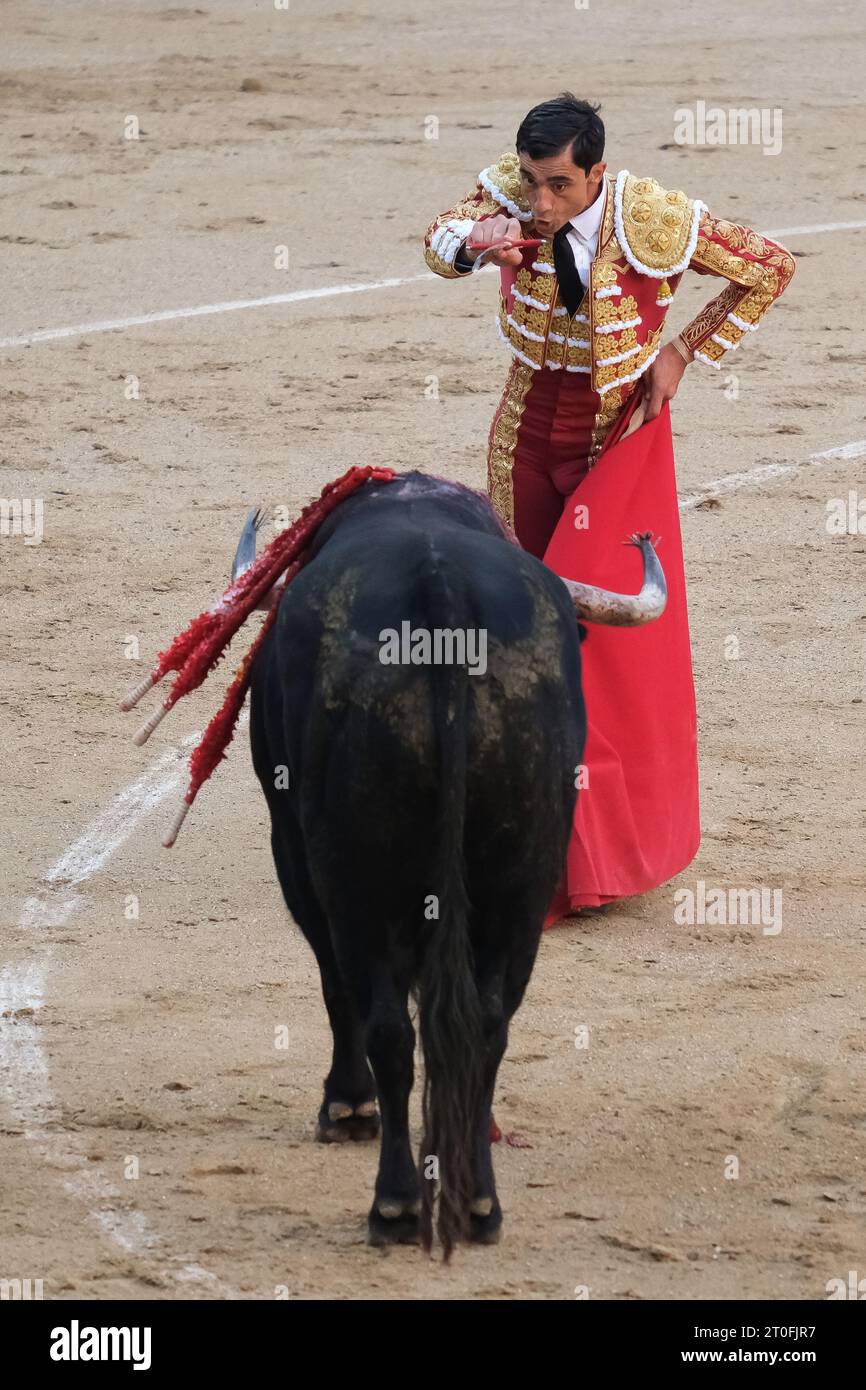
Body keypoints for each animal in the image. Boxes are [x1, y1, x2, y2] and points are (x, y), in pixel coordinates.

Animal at [247, 472, 661, 1256]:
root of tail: (439, 592)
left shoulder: (298, 858)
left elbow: (337, 987)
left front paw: (345, 1107)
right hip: (523, 876)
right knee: (489, 1024)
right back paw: (478, 1205)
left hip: (357, 879)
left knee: (387, 1024)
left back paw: (395, 1203)